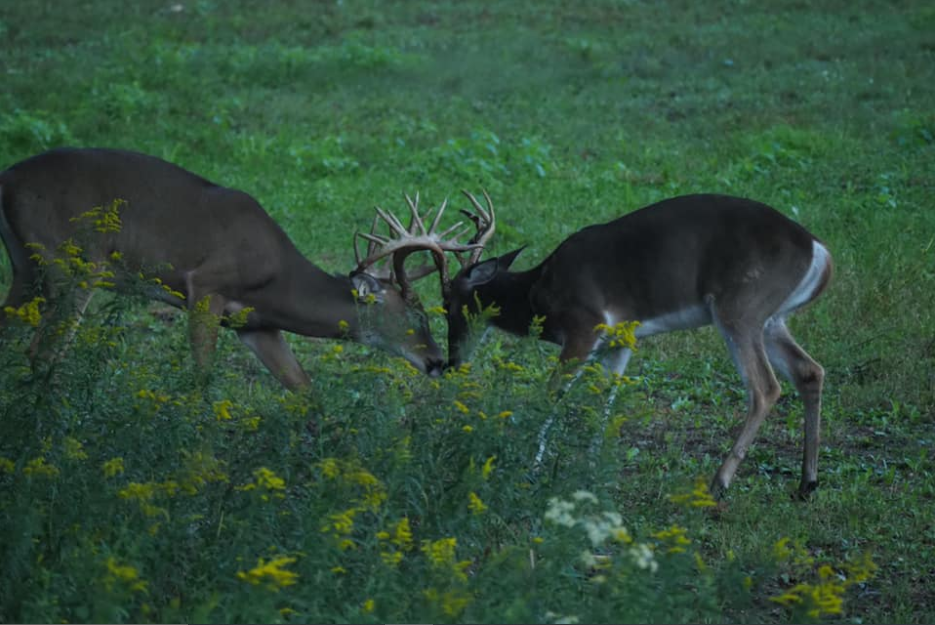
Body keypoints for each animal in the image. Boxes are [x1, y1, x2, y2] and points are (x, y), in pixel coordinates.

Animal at [0, 147, 482, 390]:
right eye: (417, 317)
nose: (439, 363)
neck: (277, 281)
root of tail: (8, 179)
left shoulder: (254, 324)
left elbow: (303, 386)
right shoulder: (205, 286)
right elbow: (202, 376)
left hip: (25, 266)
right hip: (74, 264)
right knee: (42, 350)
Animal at [438, 190, 832, 498]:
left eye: (448, 305)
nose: (451, 362)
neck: (538, 293)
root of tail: (821, 254)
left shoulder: (584, 324)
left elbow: (551, 395)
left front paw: (527, 466)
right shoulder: (619, 341)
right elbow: (604, 401)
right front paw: (590, 469)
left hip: (741, 307)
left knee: (765, 387)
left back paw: (719, 482)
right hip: (771, 318)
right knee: (810, 370)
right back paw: (807, 483)